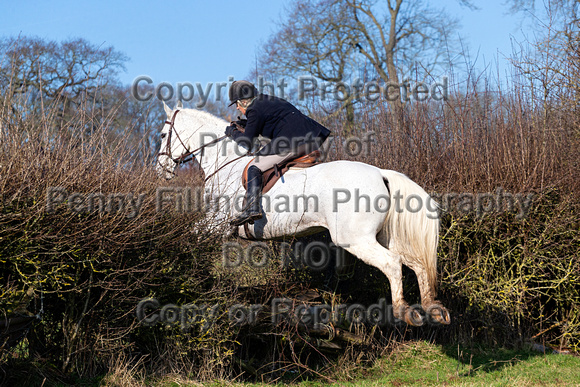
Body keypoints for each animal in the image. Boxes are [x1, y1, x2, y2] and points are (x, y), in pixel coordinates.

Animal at [156, 101, 450, 326]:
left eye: (161, 135)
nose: (160, 171)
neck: (225, 163)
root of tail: (380, 173)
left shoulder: (216, 223)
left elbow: (191, 237)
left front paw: (185, 272)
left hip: (355, 239)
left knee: (392, 264)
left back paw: (404, 311)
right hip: (385, 236)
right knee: (416, 264)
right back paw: (433, 309)